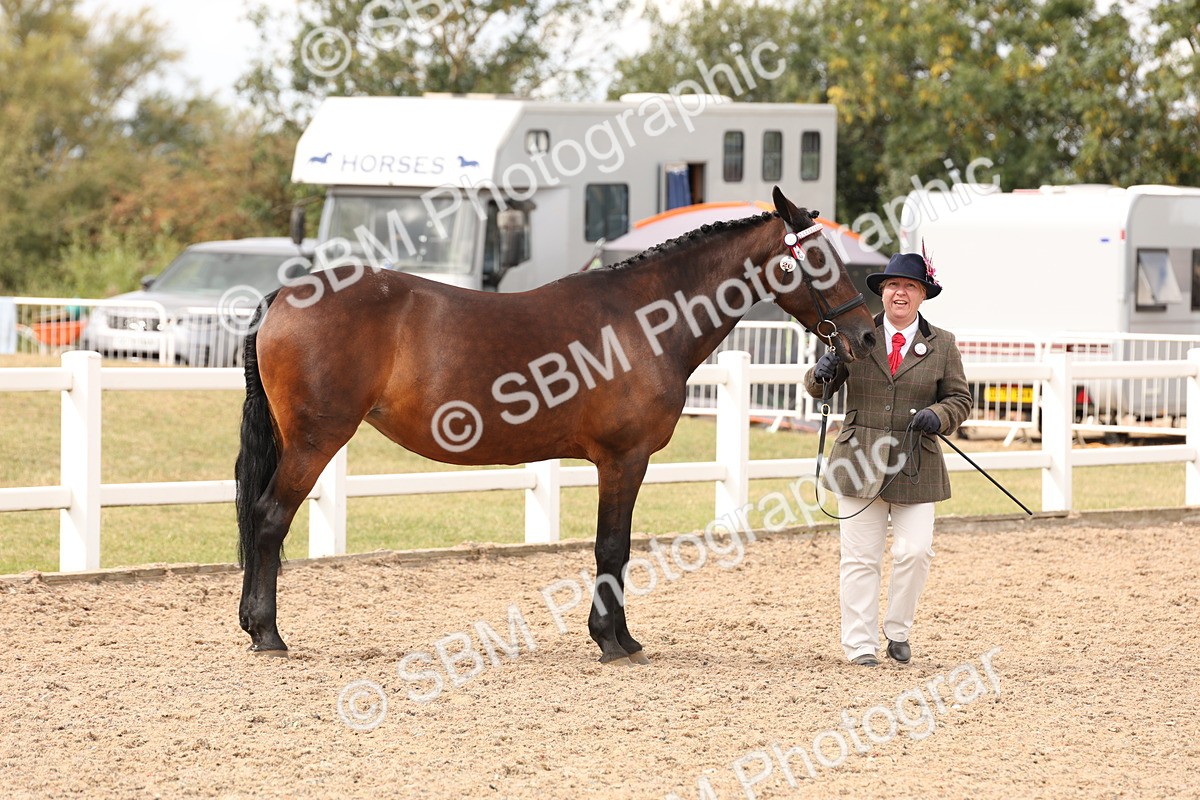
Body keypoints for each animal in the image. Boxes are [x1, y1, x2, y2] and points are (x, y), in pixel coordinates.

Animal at [235, 186, 877, 664]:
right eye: (818, 260)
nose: (867, 336)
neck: (643, 321)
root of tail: (287, 294)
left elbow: (617, 548)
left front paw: (622, 637)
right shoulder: (623, 459)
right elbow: (611, 546)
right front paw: (611, 641)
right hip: (315, 442)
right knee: (269, 519)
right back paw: (268, 634)